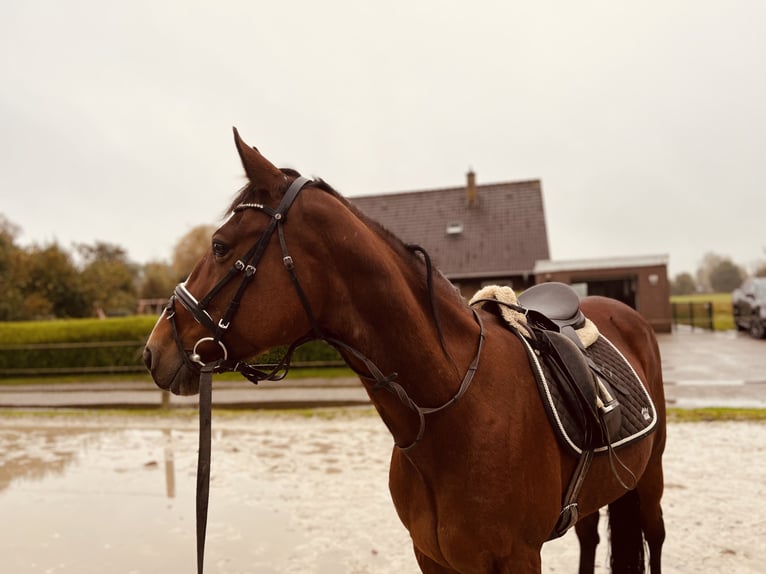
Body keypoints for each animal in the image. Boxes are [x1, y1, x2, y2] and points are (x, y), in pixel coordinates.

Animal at [142, 130, 664, 574]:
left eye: (219, 245)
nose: (152, 351)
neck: (455, 409)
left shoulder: (518, 557)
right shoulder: (431, 556)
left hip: (650, 478)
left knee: (653, 538)